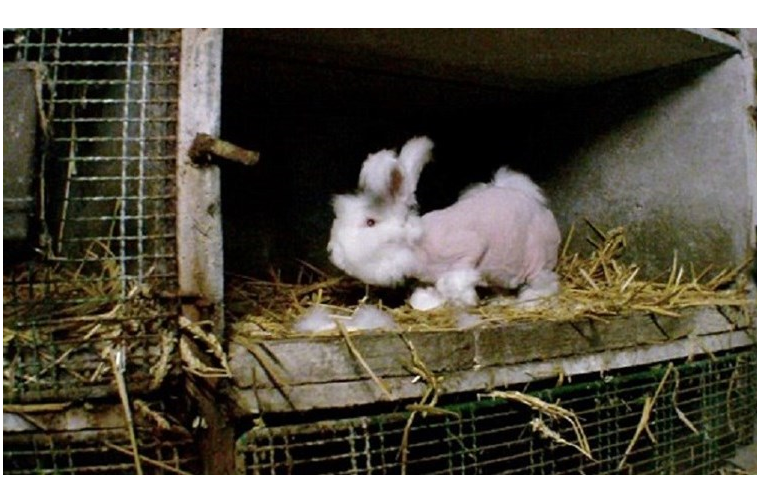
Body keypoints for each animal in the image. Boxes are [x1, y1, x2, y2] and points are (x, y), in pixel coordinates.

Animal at [326, 135, 560, 308]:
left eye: (370, 222)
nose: (335, 252)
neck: (418, 245)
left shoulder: (471, 248)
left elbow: (453, 282)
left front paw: (464, 299)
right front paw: (427, 300)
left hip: (537, 258)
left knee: (546, 283)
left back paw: (530, 299)